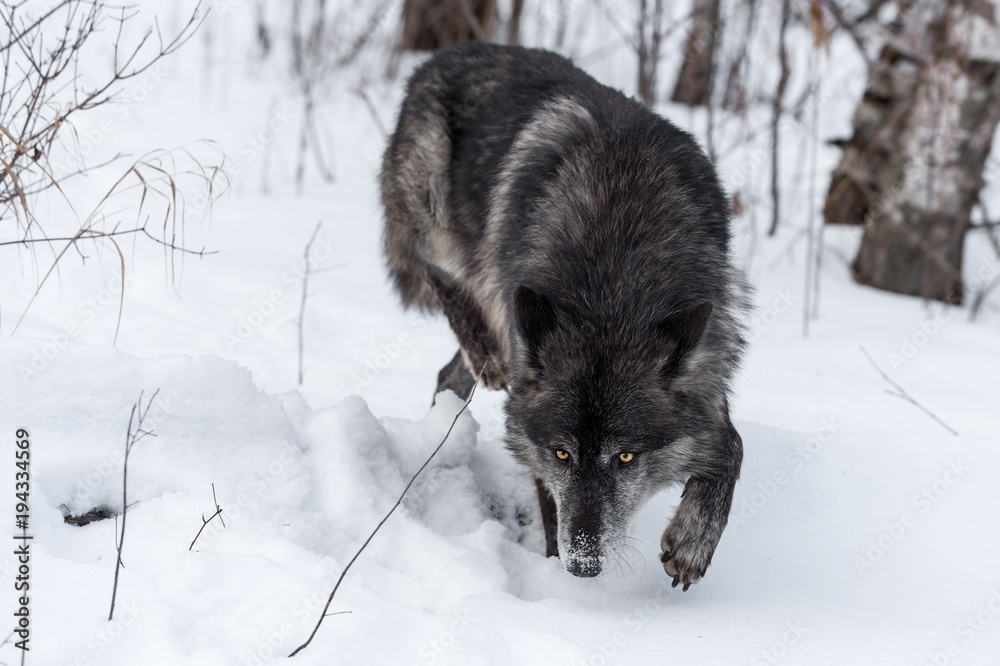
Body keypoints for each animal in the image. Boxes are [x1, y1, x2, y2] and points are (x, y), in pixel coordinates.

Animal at [380, 43, 748, 586]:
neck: (613, 284)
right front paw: (556, 583)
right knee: (440, 274)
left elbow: (731, 444)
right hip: (437, 219)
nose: (585, 565)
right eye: (561, 452)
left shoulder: (706, 352)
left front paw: (694, 539)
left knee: (448, 374)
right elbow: (550, 502)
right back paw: (479, 349)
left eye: (625, 456)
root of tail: (441, 55)